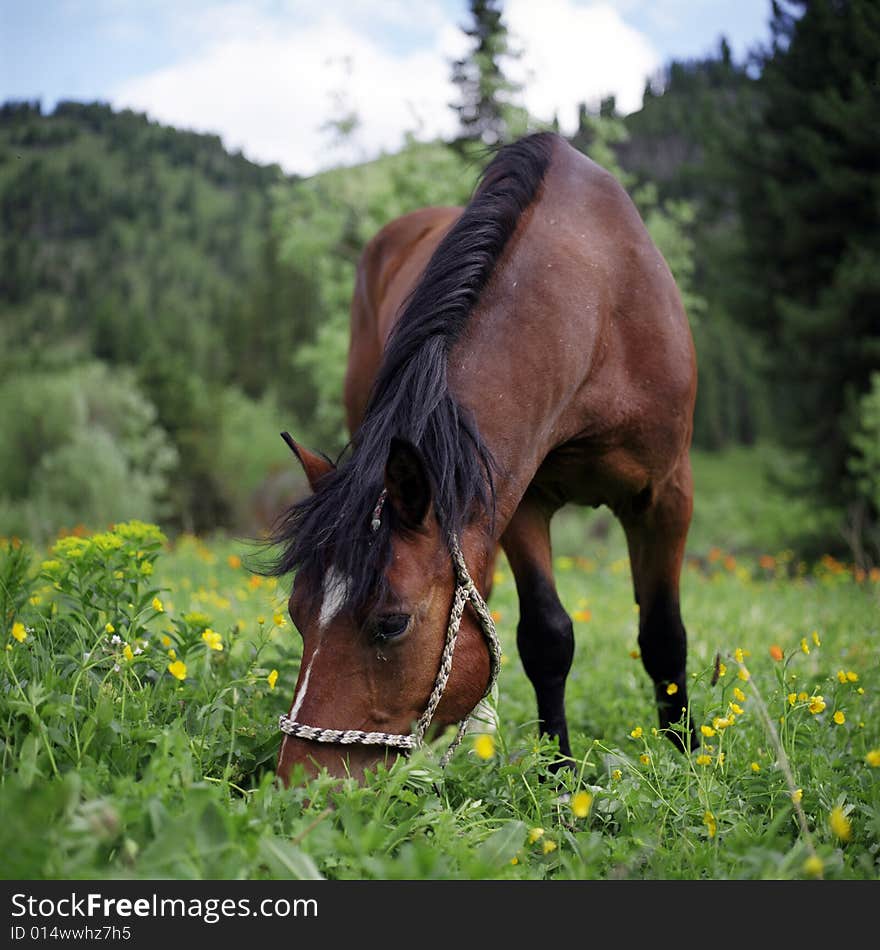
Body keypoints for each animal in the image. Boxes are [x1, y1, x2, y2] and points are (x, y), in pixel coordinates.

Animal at [272, 134, 696, 788]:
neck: (600, 308)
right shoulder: (518, 501)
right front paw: (557, 775)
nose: (299, 787)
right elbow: (547, 637)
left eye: (390, 623)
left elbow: (663, 637)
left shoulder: (667, 494)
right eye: (298, 613)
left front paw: (692, 764)